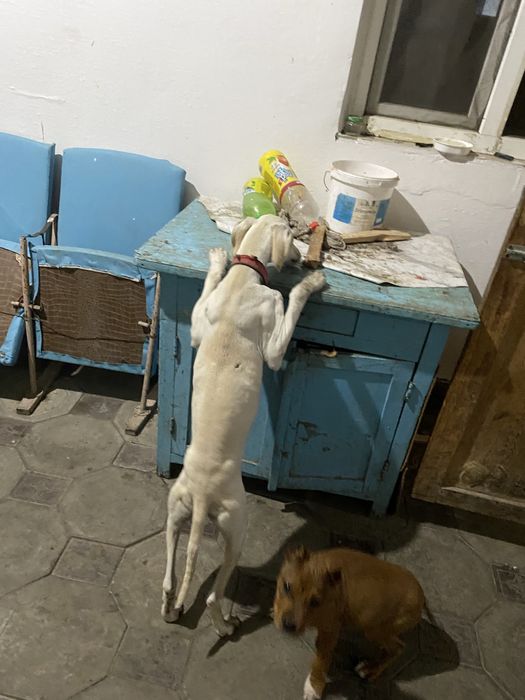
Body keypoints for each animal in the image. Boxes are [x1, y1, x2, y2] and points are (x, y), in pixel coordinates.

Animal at [161, 215, 325, 637]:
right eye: (293, 235)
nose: (306, 260)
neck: (243, 279)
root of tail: (202, 495)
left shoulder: (198, 325)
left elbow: (203, 297)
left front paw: (217, 260)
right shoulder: (275, 338)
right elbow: (290, 309)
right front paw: (311, 284)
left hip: (175, 510)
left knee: (169, 580)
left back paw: (171, 609)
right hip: (238, 527)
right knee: (213, 596)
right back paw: (226, 625)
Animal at [273, 546, 426, 699]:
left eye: (314, 601)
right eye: (287, 586)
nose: (288, 626)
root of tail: (421, 597)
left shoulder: (330, 631)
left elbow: (320, 662)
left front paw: (314, 687)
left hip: (374, 629)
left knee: (398, 647)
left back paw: (371, 669)